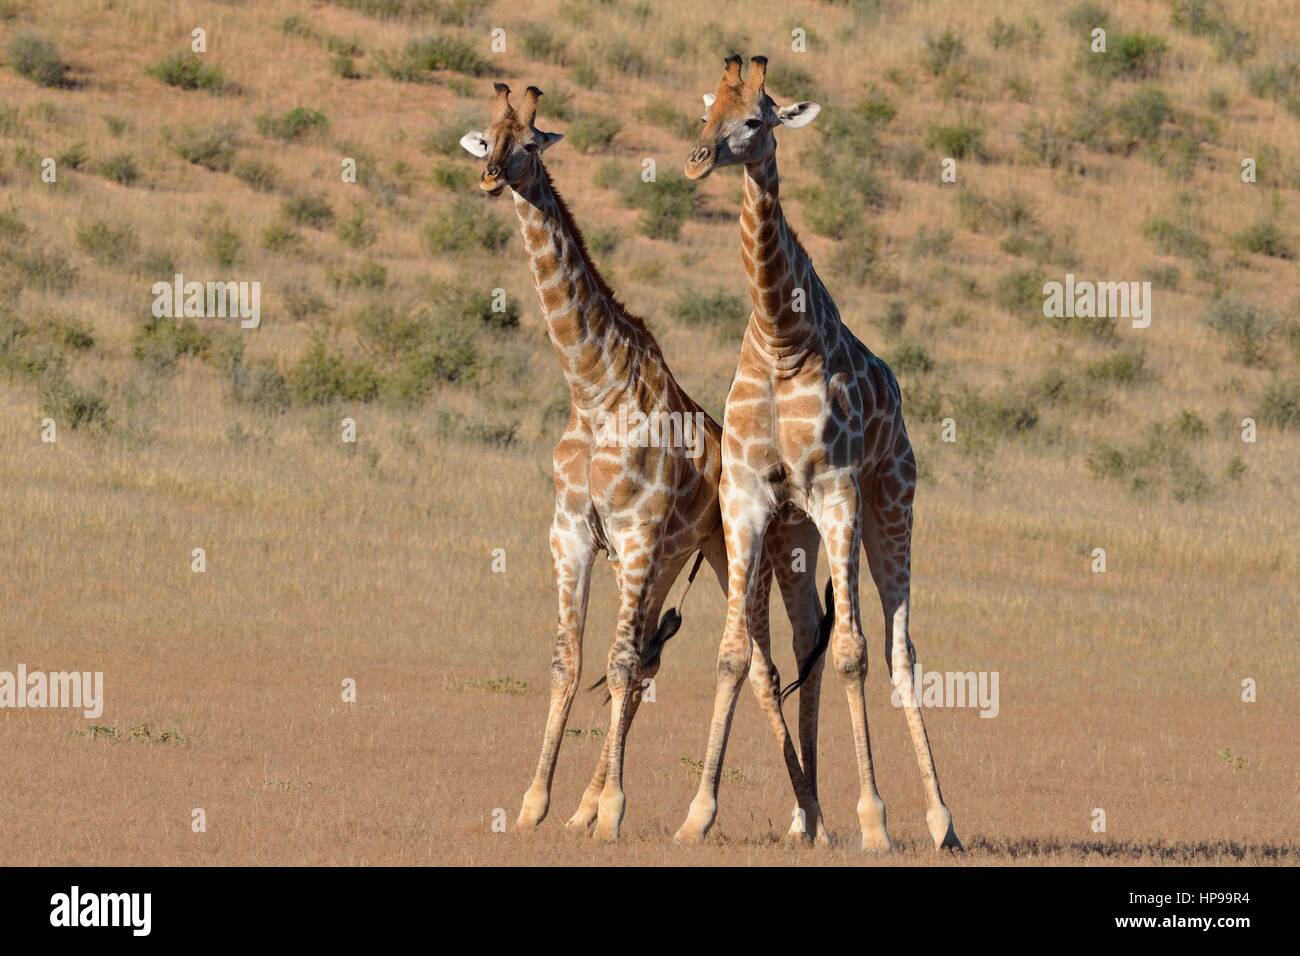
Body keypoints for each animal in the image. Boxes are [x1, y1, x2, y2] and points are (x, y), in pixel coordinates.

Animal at [465, 82, 832, 842]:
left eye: (529, 140)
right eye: (488, 133)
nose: (487, 178)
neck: (592, 387)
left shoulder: (634, 535)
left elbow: (618, 664)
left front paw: (612, 810)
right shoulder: (573, 533)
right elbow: (571, 663)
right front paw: (540, 805)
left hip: (737, 554)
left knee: (760, 665)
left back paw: (805, 814)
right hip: (669, 564)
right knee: (652, 661)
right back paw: (588, 806)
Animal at [676, 57, 961, 853]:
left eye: (754, 120)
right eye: (707, 112)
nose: (697, 159)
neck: (780, 338)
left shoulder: (838, 491)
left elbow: (855, 653)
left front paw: (875, 821)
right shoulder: (747, 495)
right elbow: (736, 652)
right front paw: (697, 813)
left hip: (892, 503)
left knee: (899, 650)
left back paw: (941, 822)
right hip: (795, 530)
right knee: (808, 637)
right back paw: (810, 820)